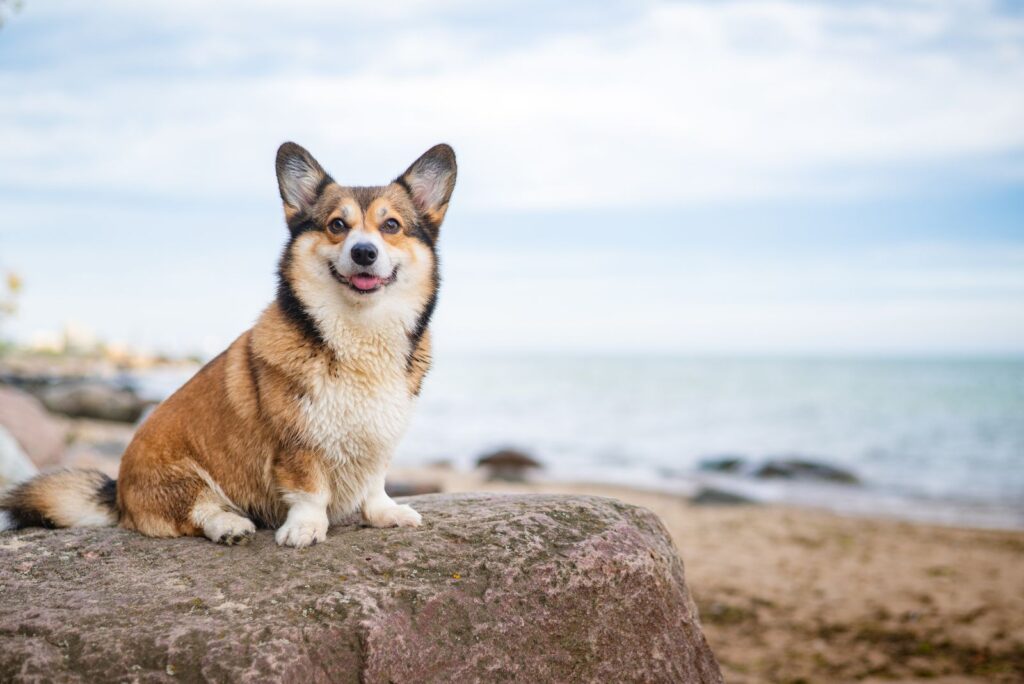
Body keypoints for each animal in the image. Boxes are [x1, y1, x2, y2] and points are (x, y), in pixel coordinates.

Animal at [0, 141, 456, 548]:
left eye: (391, 225)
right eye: (336, 225)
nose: (364, 252)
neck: (359, 332)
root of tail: (117, 492)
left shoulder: (379, 437)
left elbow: (374, 483)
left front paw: (385, 513)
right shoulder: (297, 445)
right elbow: (310, 491)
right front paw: (305, 528)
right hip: (180, 477)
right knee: (198, 512)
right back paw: (229, 526)